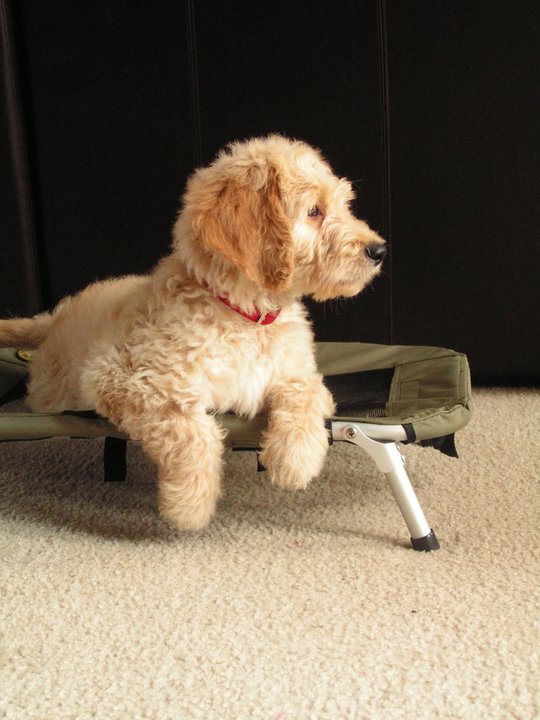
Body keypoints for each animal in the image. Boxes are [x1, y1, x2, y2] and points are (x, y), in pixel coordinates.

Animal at [1, 135, 388, 528]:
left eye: (343, 204)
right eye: (313, 211)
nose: (379, 249)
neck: (247, 316)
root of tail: (54, 319)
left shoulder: (299, 373)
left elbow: (305, 394)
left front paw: (295, 460)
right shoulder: (120, 377)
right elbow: (191, 430)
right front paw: (189, 503)